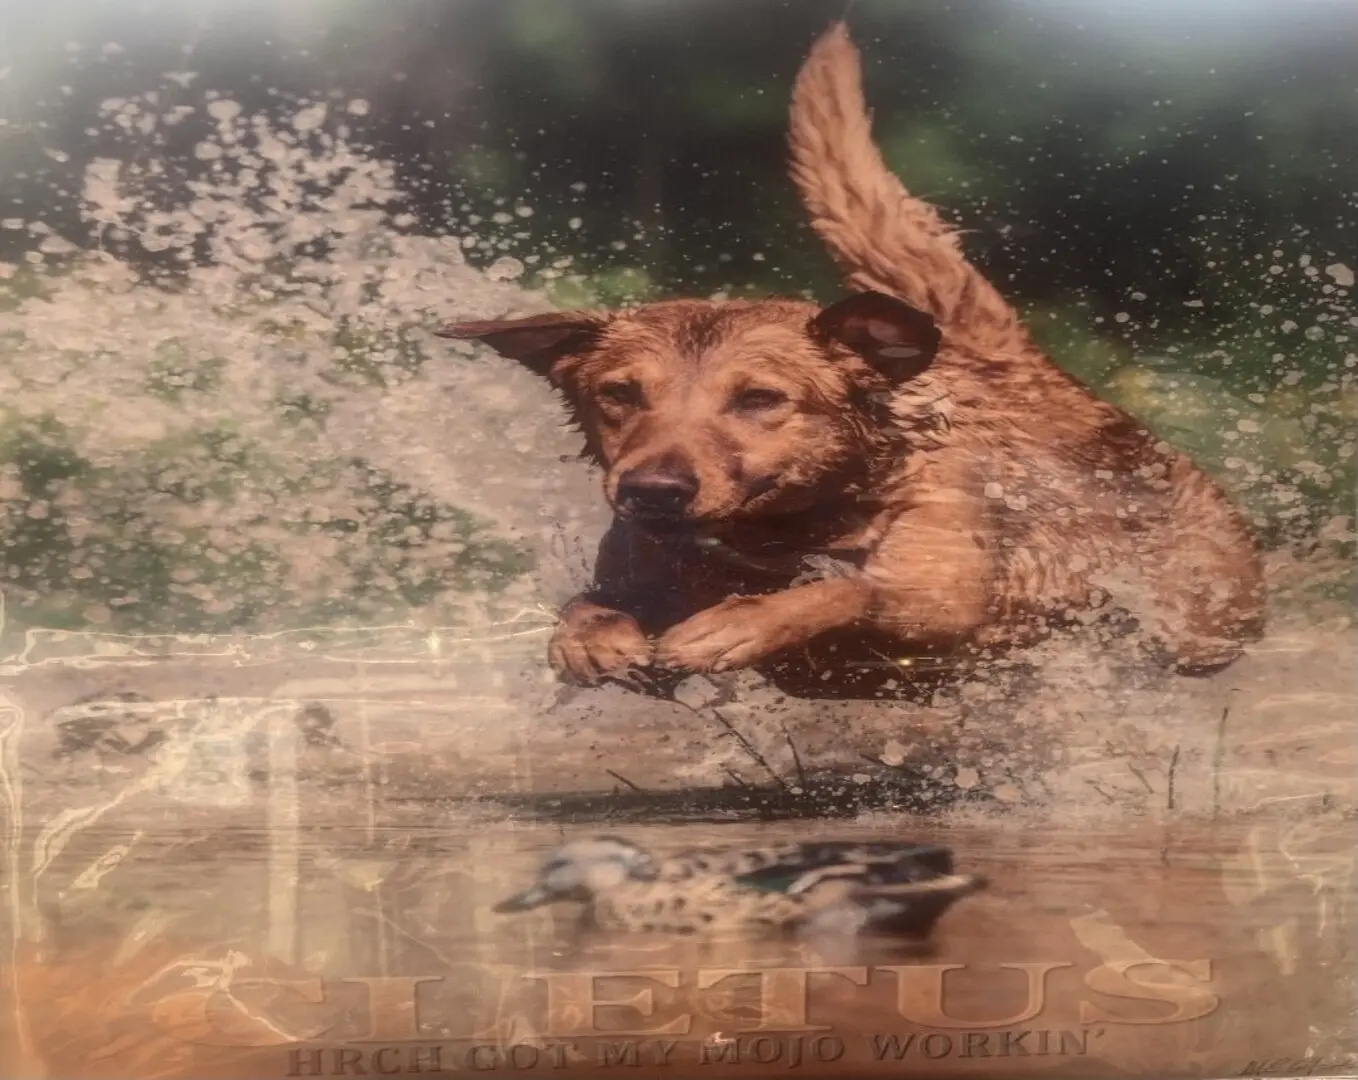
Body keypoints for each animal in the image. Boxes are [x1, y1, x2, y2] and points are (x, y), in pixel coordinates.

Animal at [437, 27, 1260, 700]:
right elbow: (588, 600)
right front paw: (590, 634)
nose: (653, 491)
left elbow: (848, 591)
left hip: (1208, 611)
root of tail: (1020, 370)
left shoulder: (942, 591)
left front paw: (743, 619)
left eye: (760, 399)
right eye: (620, 394)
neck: (783, 536)